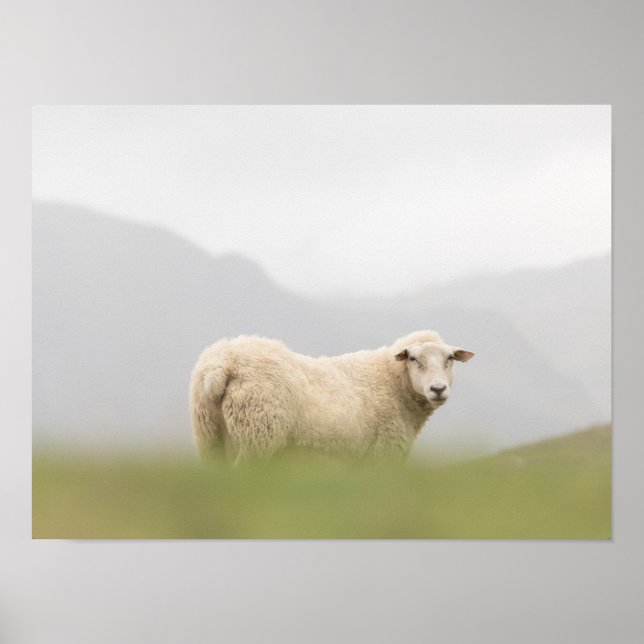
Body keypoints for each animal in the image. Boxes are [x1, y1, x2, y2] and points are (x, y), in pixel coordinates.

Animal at [189, 330, 474, 464]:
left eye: (450, 358)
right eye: (413, 359)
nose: (438, 389)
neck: (393, 382)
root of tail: (222, 365)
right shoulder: (381, 455)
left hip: (209, 438)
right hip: (257, 434)